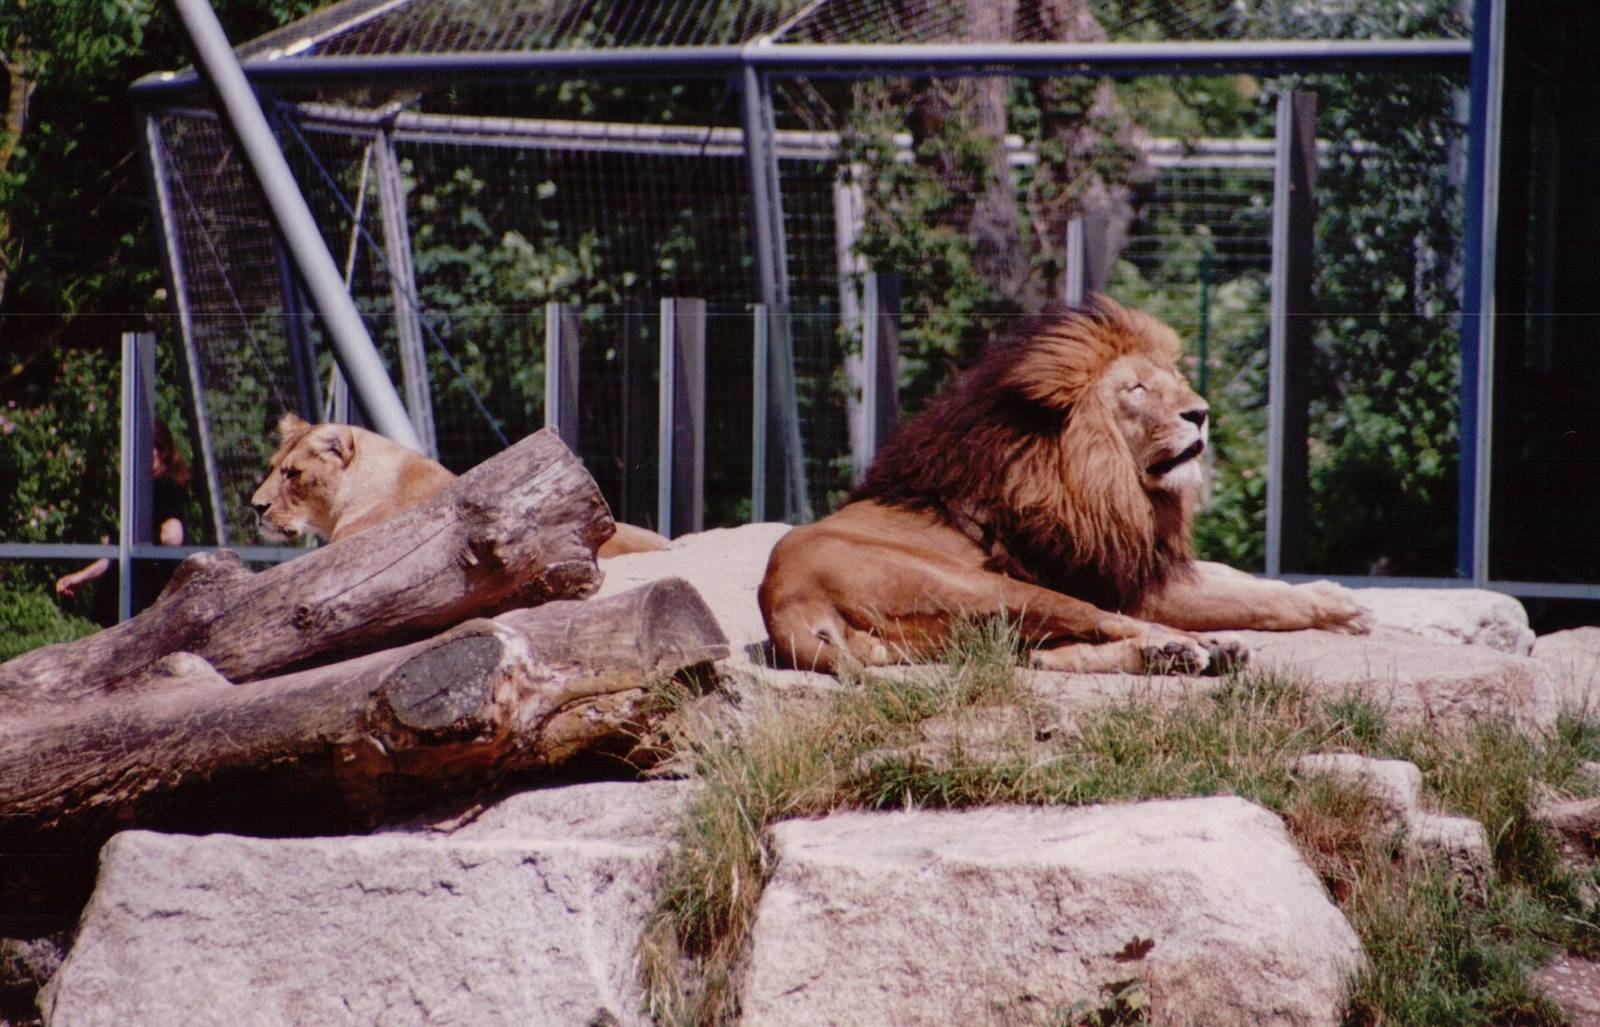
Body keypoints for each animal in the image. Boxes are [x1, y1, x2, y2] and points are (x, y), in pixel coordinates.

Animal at [758, 296, 1372, 675]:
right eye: (1136, 389)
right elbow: (1248, 600)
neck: (1108, 477)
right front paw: (1337, 610)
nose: (1200, 414)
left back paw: (1178, 655)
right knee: (1108, 624)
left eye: (1173, 380)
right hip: (991, 589)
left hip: (972, 630)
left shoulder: (1141, 554)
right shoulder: (1123, 577)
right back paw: (1195, 646)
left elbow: (1241, 579)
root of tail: (785, 604)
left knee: (1044, 656)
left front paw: (1335, 598)